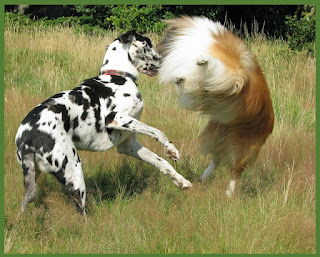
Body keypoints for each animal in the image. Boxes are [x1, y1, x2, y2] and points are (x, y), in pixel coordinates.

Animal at [15, 30, 192, 216]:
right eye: (148, 44)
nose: (164, 59)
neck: (118, 76)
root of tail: (27, 138)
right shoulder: (116, 118)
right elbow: (157, 131)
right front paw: (171, 148)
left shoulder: (129, 144)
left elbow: (160, 161)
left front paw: (180, 180)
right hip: (74, 171)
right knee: (80, 211)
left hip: (34, 175)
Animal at [159, 16, 274, 194]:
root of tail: (270, 126)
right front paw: (181, 78)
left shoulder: (231, 76)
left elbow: (212, 69)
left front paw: (203, 62)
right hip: (217, 133)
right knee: (217, 158)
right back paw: (202, 178)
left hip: (239, 147)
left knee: (235, 170)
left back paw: (229, 193)